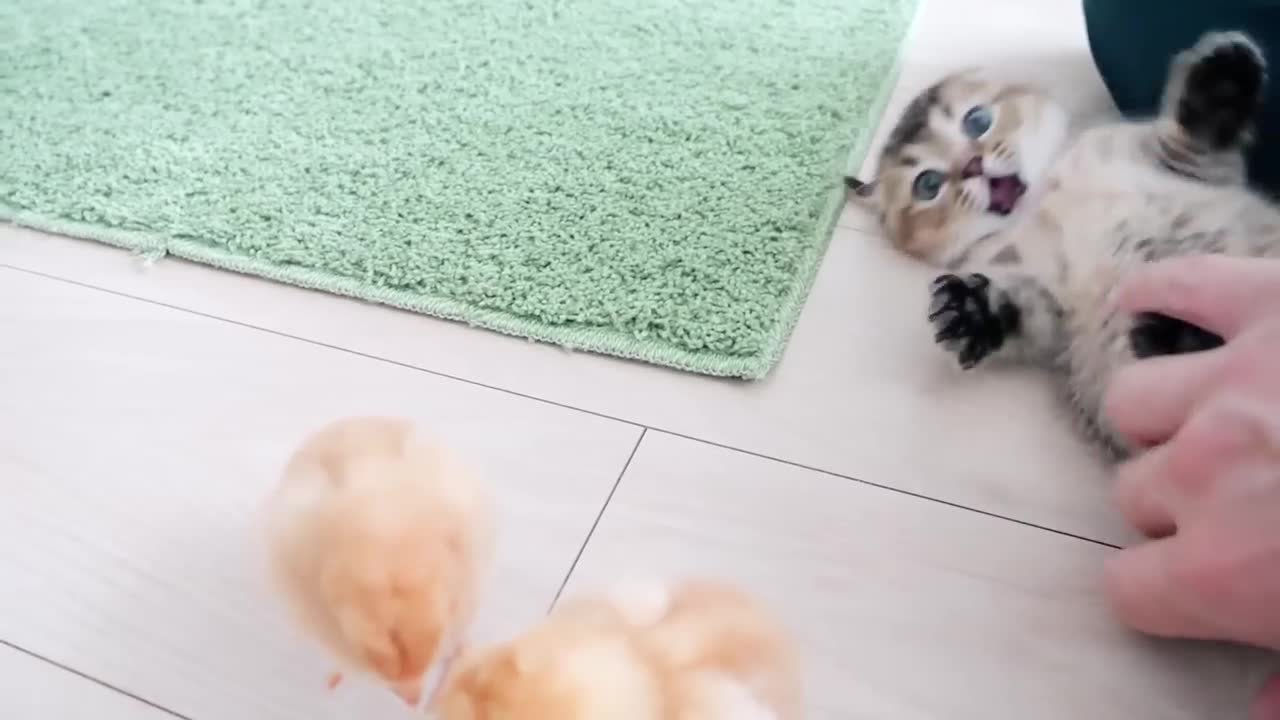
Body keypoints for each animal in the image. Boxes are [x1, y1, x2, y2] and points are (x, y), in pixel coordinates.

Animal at [849, 30, 1280, 456]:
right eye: (928, 185)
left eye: (977, 121)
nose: (973, 164)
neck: (1048, 197)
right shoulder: (1050, 293)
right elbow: (1025, 308)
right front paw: (970, 310)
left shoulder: (1185, 167)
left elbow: (1189, 142)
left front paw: (1224, 80)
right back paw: (1178, 335)